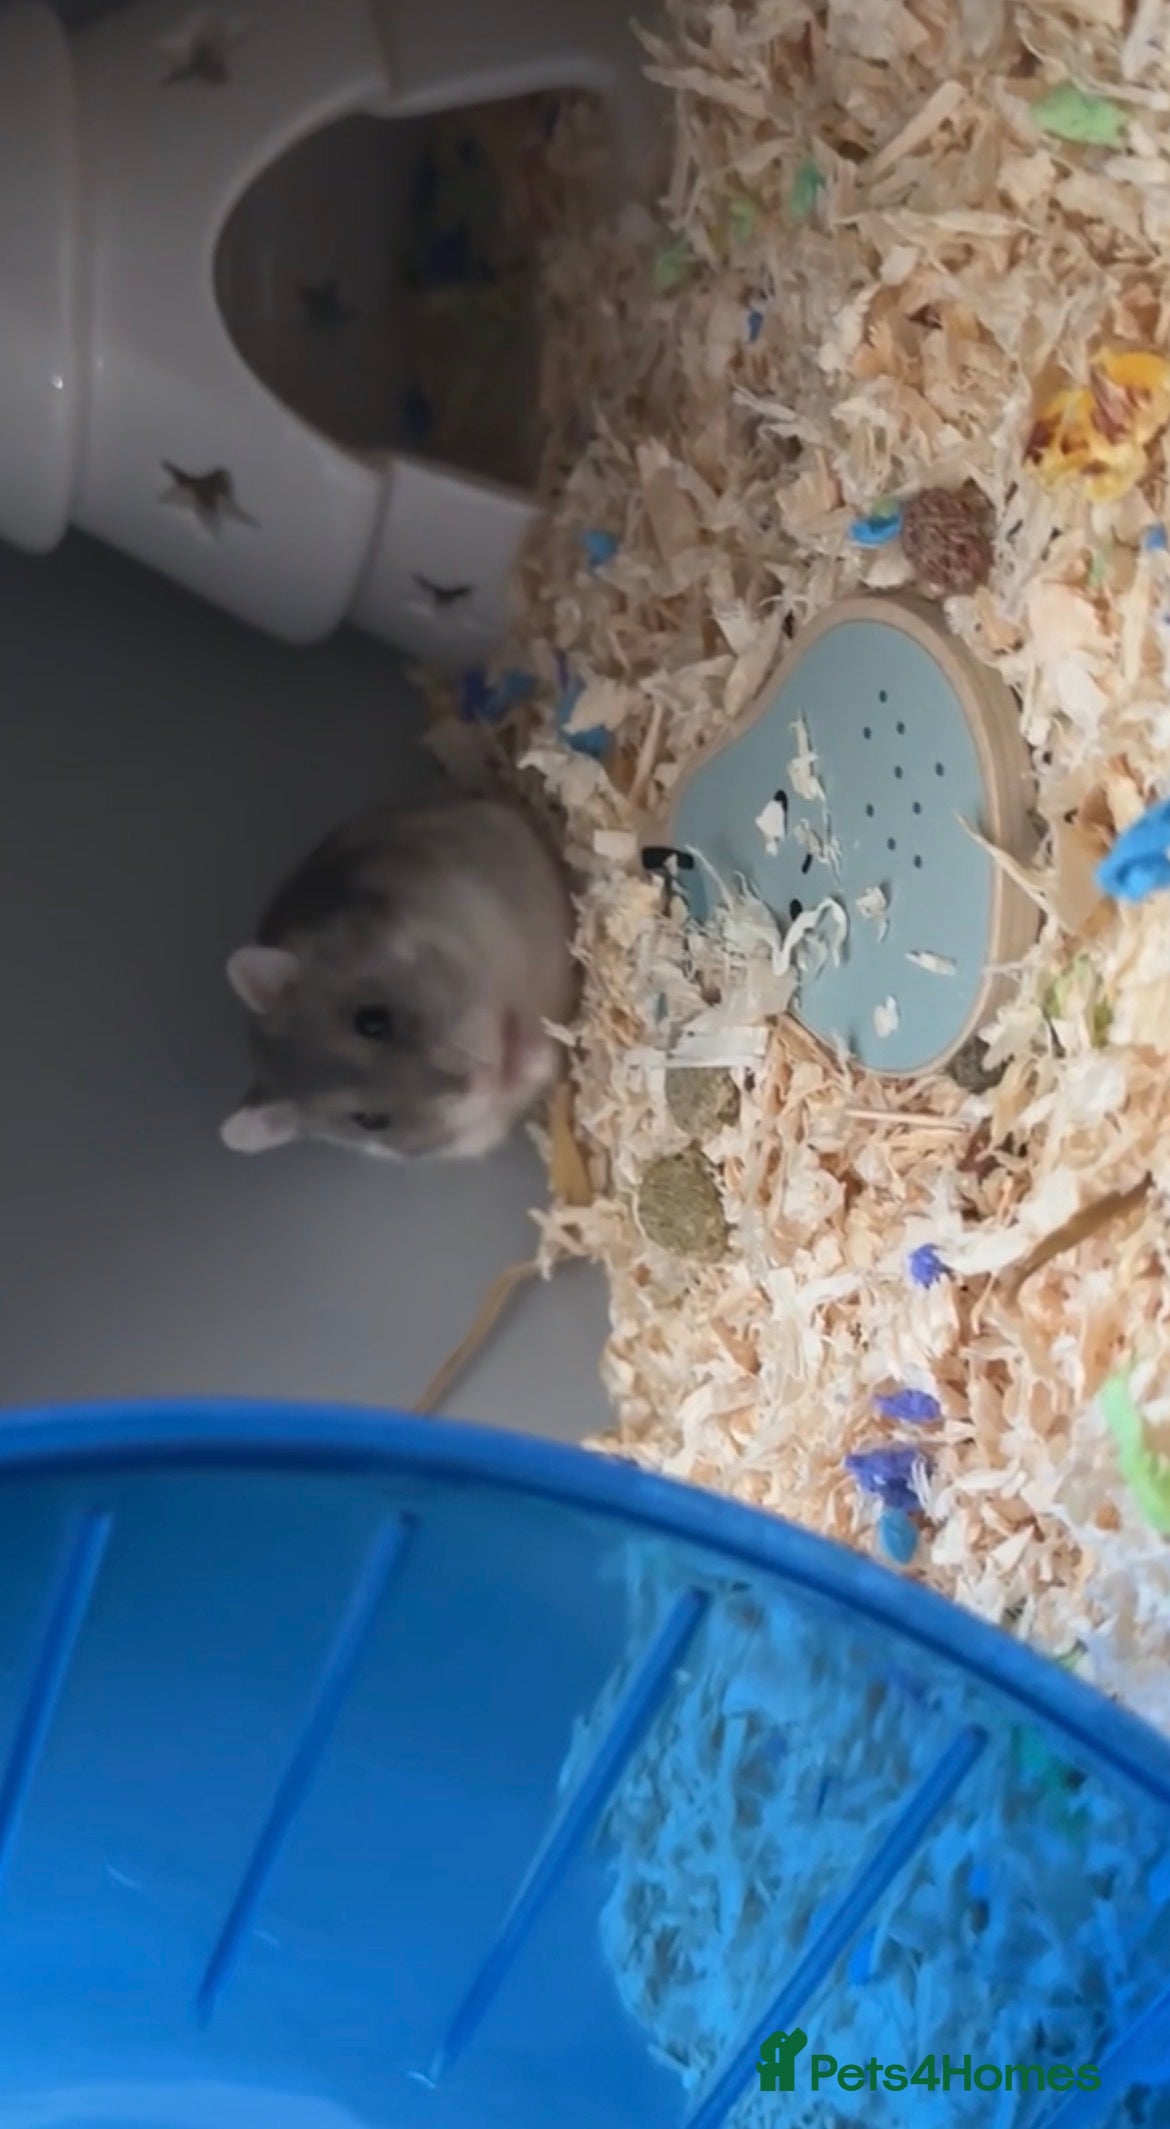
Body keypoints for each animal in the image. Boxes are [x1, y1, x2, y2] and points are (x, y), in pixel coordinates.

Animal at [220, 795, 577, 1161]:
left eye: (371, 1022)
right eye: (370, 1120)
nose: (482, 1081)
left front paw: (535, 1055)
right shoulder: (477, 1133)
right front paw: (534, 1064)